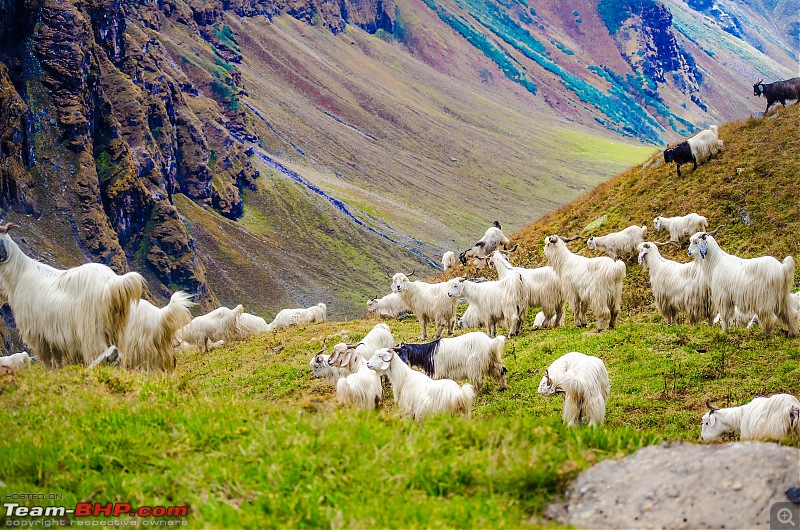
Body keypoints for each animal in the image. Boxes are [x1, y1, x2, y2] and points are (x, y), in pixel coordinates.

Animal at [0, 221, 145, 366]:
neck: (19, 275)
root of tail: (112, 281)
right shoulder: (54, 337)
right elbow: (57, 360)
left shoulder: (38, 335)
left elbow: (48, 361)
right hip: (118, 331)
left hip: (92, 331)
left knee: (100, 352)